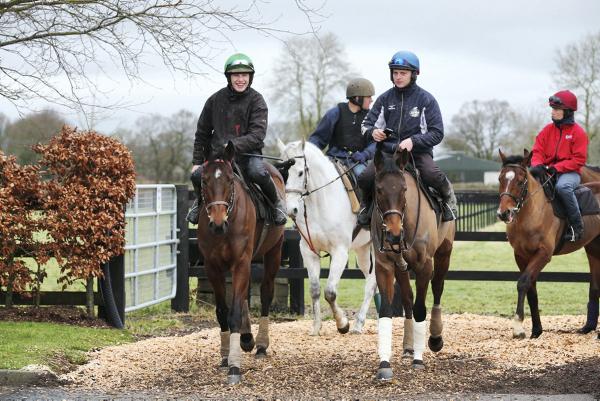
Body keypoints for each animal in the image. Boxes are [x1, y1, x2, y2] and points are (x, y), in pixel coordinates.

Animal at [196, 141, 285, 384]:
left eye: (229, 180)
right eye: (204, 180)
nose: (218, 223)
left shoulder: (240, 263)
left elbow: (234, 312)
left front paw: (234, 366)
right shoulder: (212, 267)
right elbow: (222, 311)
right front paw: (226, 355)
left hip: (273, 252)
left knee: (265, 293)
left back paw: (261, 344)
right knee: (245, 296)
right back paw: (246, 338)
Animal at [277, 139, 377, 335]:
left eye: (301, 172)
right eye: (283, 173)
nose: (291, 210)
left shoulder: (340, 252)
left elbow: (330, 292)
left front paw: (342, 323)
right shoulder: (308, 252)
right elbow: (315, 290)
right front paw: (316, 327)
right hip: (363, 250)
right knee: (371, 281)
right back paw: (359, 324)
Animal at [371, 147, 455, 380]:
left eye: (404, 189)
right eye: (378, 190)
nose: (393, 234)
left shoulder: (424, 266)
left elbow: (420, 309)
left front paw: (419, 359)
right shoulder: (384, 266)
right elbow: (387, 310)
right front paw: (384, 364)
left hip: (444, 253)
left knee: (437, 289)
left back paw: (434, 337)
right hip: (402, 268)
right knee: (407, 298)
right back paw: (408, 346)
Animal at [497, 149, 600, 340]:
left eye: (520, 181)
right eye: (500, 179)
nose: (504, 213)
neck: (532, 214)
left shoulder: (543, 254)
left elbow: (523, 282)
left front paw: (518, 327)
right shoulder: (521, 256)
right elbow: (531, 289)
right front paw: (536, 330)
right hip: (593, 249)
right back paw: (588, 327)